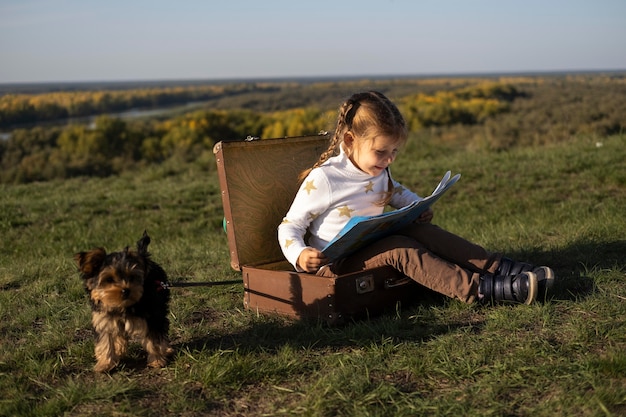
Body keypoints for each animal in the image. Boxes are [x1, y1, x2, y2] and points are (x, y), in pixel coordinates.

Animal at [75, 231, 173, 370]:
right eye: (109, 279)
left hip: (159, 306)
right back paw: (119, 350)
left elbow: (154, 340)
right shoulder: (104, 319)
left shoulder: (151, 316)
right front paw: (105, 364)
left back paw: (167, 349)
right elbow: (105, 340)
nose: (126, 290)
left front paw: (157, 361)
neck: (121, 306)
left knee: (162, 326)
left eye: (132, 277)